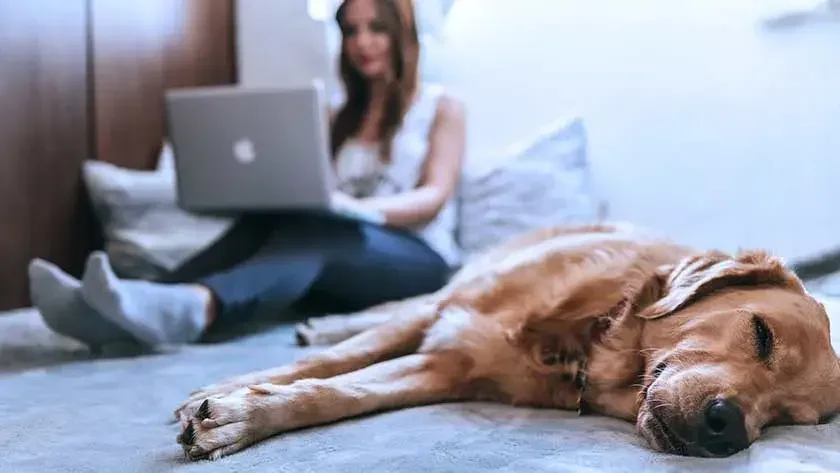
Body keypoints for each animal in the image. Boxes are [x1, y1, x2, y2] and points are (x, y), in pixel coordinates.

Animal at [172, 223, 840, 460]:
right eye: (761, 333)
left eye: (789, 418)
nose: (728, 429)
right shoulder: (446, 316)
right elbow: (336, 360)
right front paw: (229, 392)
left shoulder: (442, 368)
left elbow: (337, 393)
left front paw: (240, 416)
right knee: (384, 313)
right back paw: (324, 321)